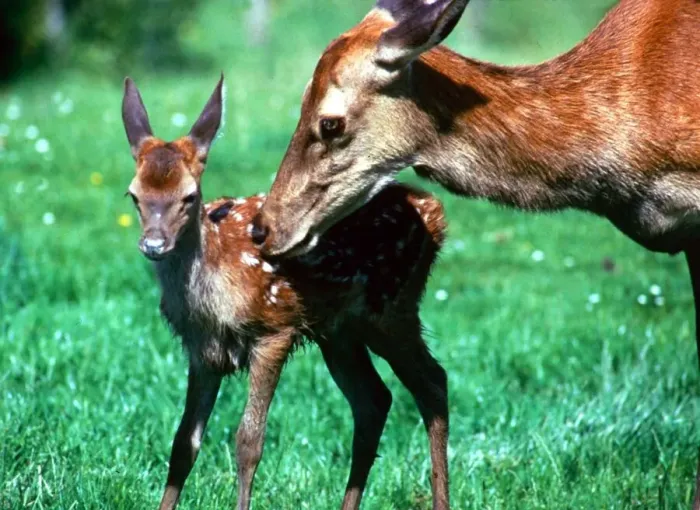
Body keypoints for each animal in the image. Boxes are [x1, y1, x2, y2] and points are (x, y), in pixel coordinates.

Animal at [121, 75, 451, 510]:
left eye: (190, 196)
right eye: (134, 195)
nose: (154, 245)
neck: (211, 298)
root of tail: (435, 211)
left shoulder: (274, 327)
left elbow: (248, 441)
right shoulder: (203, 350)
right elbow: (183, 442)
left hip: (392, 307)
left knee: (433, 382)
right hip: (339, 331)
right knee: (374, 401)